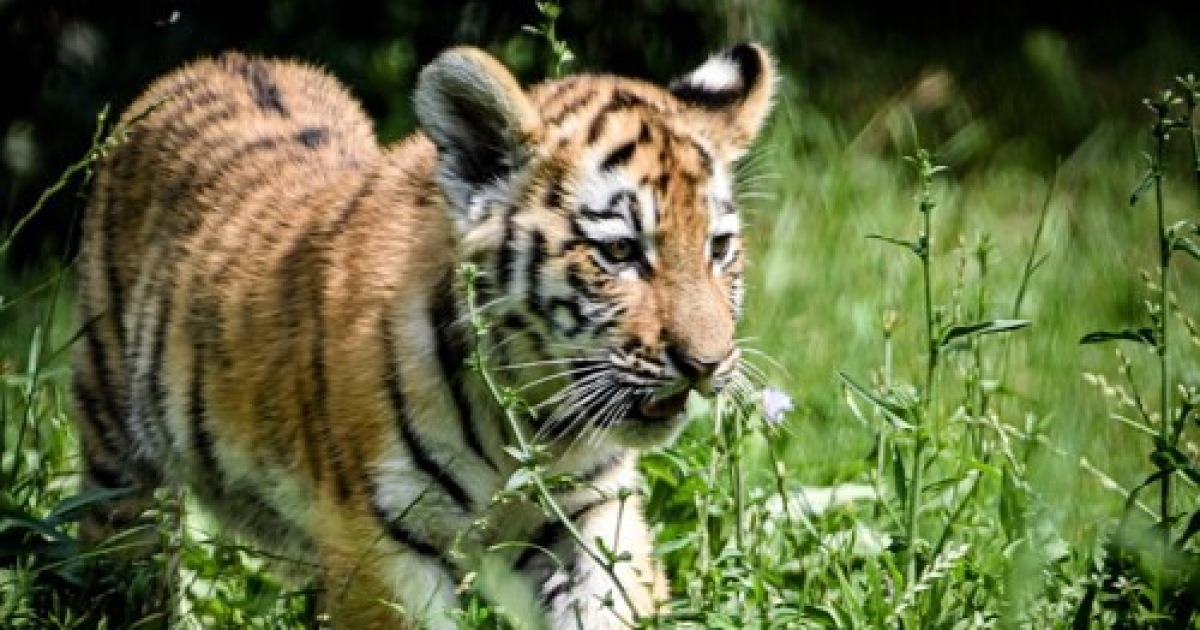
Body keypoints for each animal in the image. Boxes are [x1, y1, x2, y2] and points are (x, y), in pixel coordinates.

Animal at [73, 41, 775, 629]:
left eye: (718, 248)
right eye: (621, 251)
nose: (707, 364)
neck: (533, 420)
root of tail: (216, 61)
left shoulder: (590, 517)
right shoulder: (380, 540)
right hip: (119, 463)